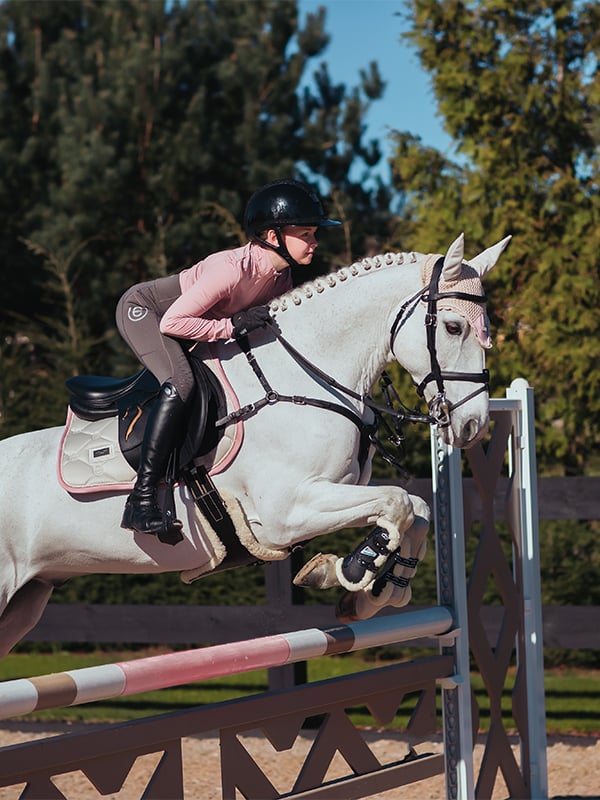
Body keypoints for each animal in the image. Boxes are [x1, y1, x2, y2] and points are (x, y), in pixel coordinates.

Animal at [0, 232, 510, 657]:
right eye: (453, 327)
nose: (472, 426)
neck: (304, 376)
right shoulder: (286, 514)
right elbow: (399, 502)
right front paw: (352, 570)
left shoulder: (333, 492)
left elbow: (416, 508)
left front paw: (375, 591)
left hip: (26, 599)